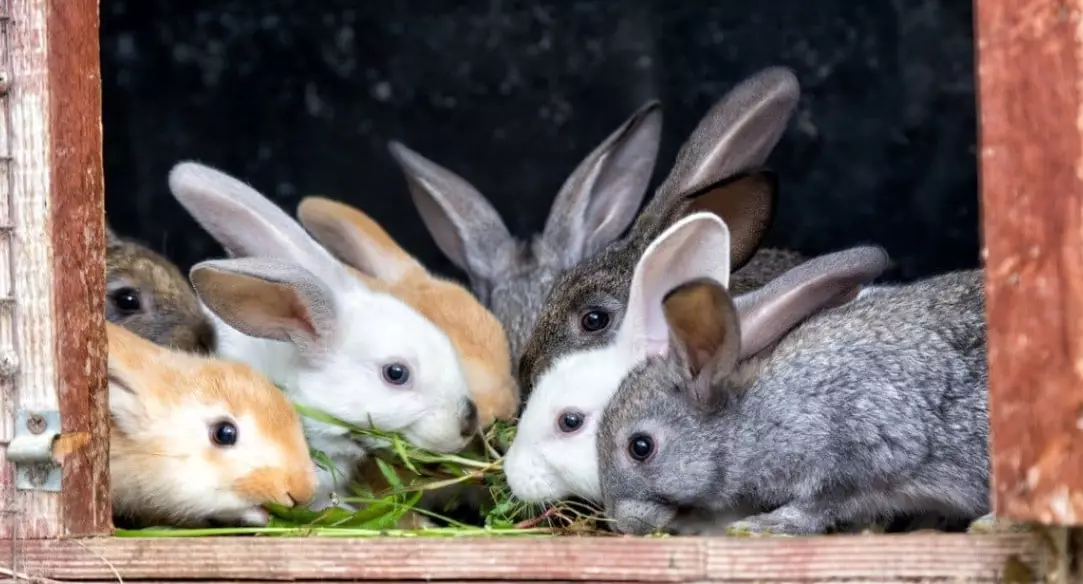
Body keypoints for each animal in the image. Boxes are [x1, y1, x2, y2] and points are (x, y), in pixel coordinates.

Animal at [597, 246, 989, 536]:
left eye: (641, 447)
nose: (622, 524)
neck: (751, 416)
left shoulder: (854, 455)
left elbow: (817, 507)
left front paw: (763, 525)